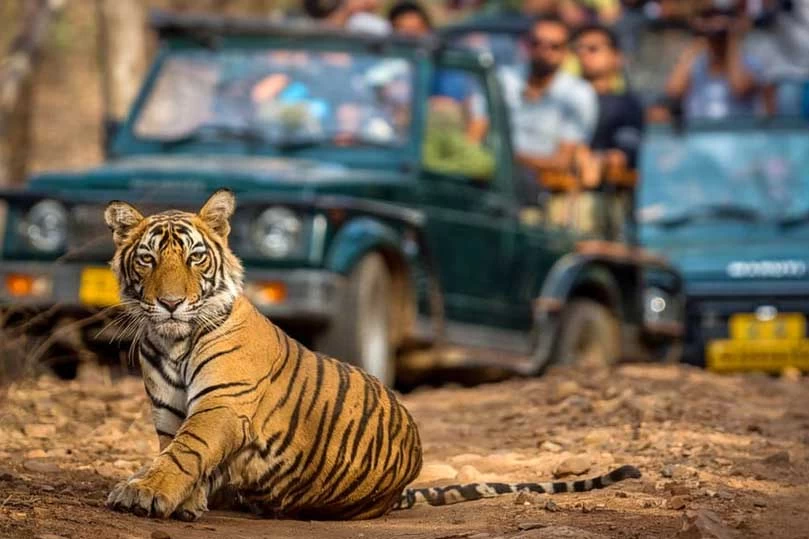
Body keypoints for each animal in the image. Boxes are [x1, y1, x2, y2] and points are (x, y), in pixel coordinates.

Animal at [102, 189, 642, 521]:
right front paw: (182, 500)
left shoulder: (223, 404)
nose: (171, 303)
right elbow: (175, 452)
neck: (172, 340)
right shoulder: (169, 411)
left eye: (195, 257)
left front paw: (145, 493)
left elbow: (184, 452)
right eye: (147, 258)